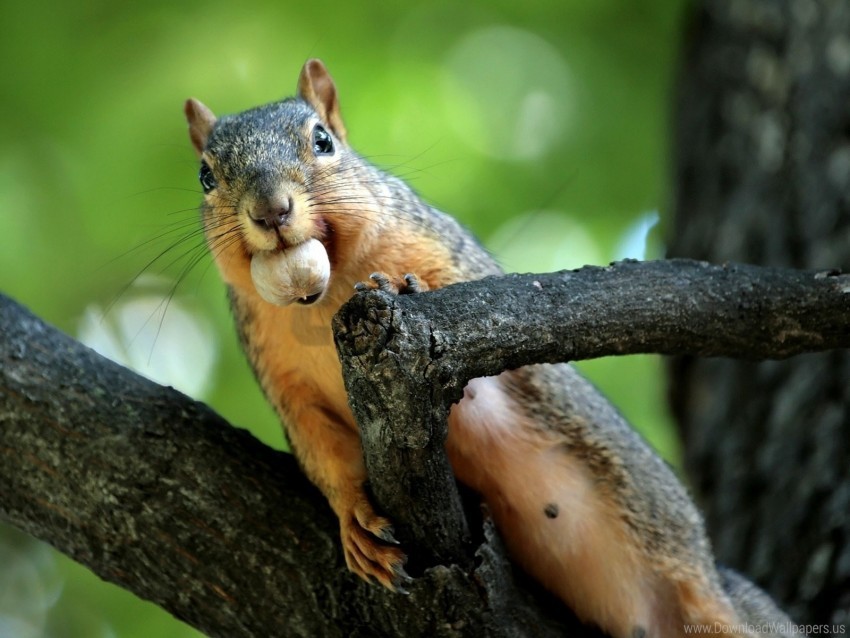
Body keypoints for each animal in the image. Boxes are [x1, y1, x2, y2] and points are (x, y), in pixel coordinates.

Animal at [182, 57, 792, 636]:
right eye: (206, 176)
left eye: (323, 140)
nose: (270, 210)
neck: (325, 298)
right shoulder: (283, 382)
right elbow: (321, 450)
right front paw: (354, 521)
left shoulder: (449, 254)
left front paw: (408, 287)